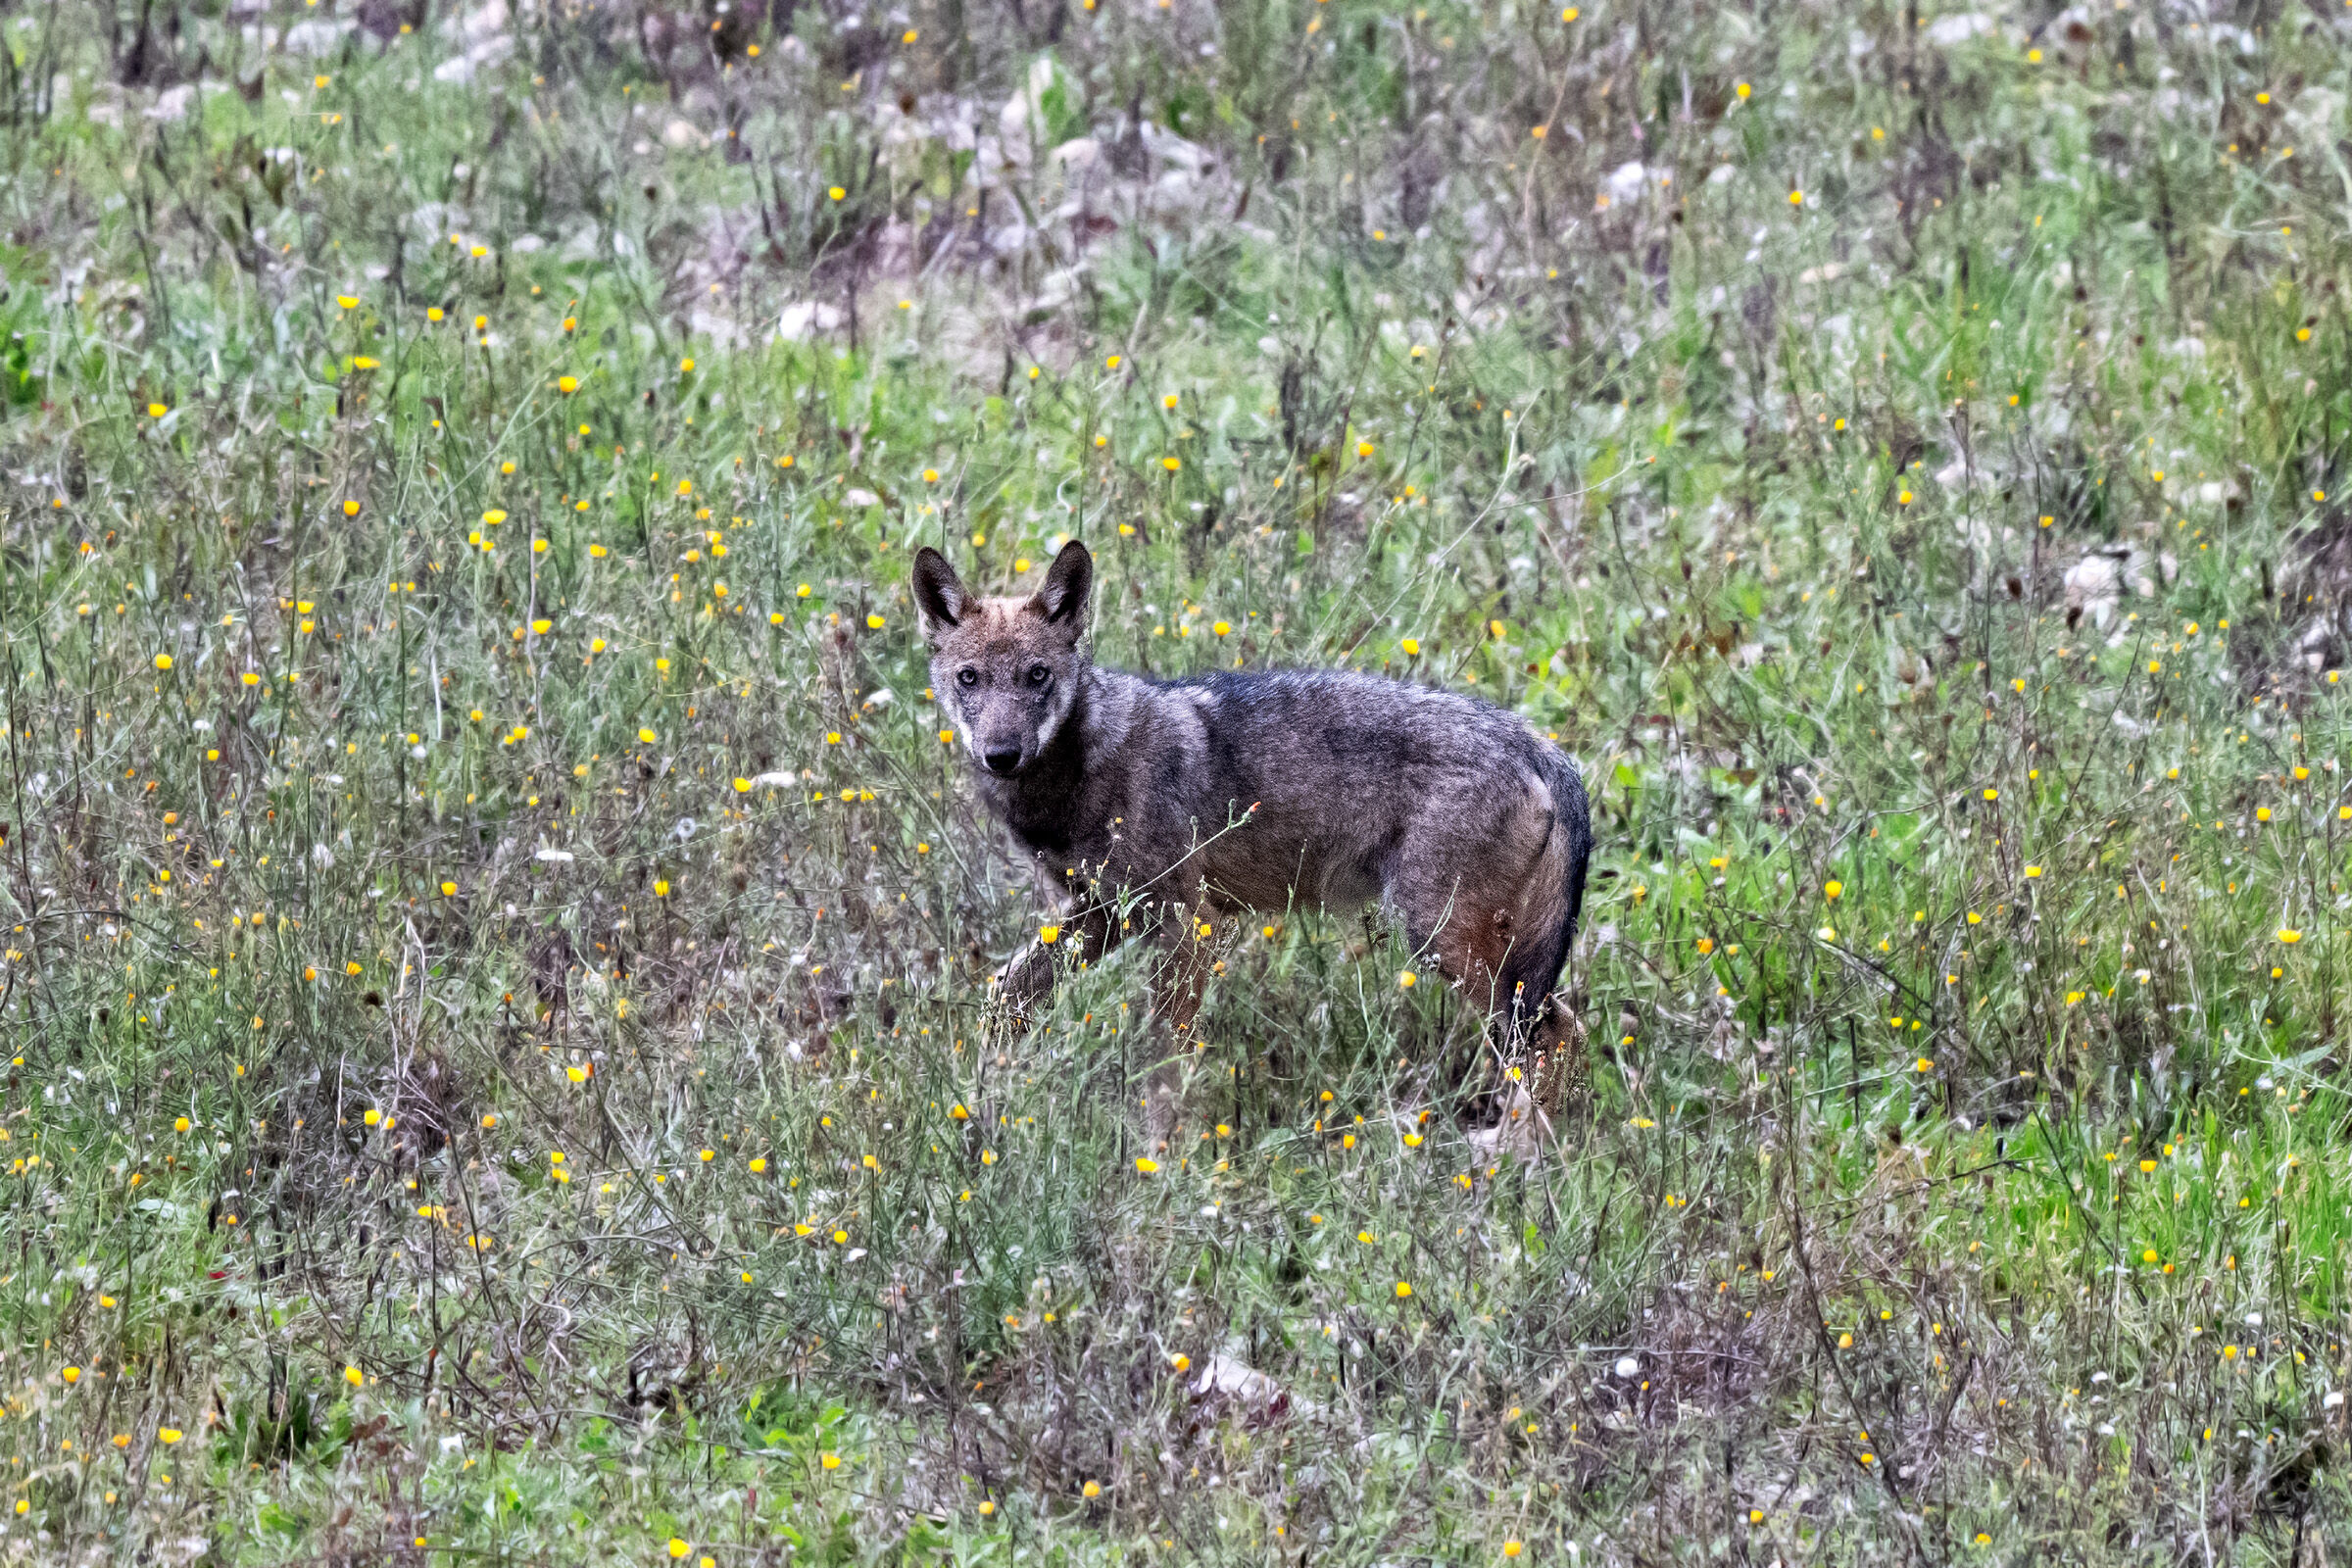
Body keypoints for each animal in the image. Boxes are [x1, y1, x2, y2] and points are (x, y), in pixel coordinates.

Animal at [912, 540, 1593, 1140]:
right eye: (970, 679)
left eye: (1037, 676)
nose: (1001, 755)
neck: (1077, 773)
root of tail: (1540, 744)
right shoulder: (1100, 914)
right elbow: (1001, 1004)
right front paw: (980, 1106)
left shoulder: (1189, 925)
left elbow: (1166, 1066)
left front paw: (1162, 1164)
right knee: (1557, 1036)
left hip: (1445, 943)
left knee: (1558, 1034)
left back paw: (1525, 1162)